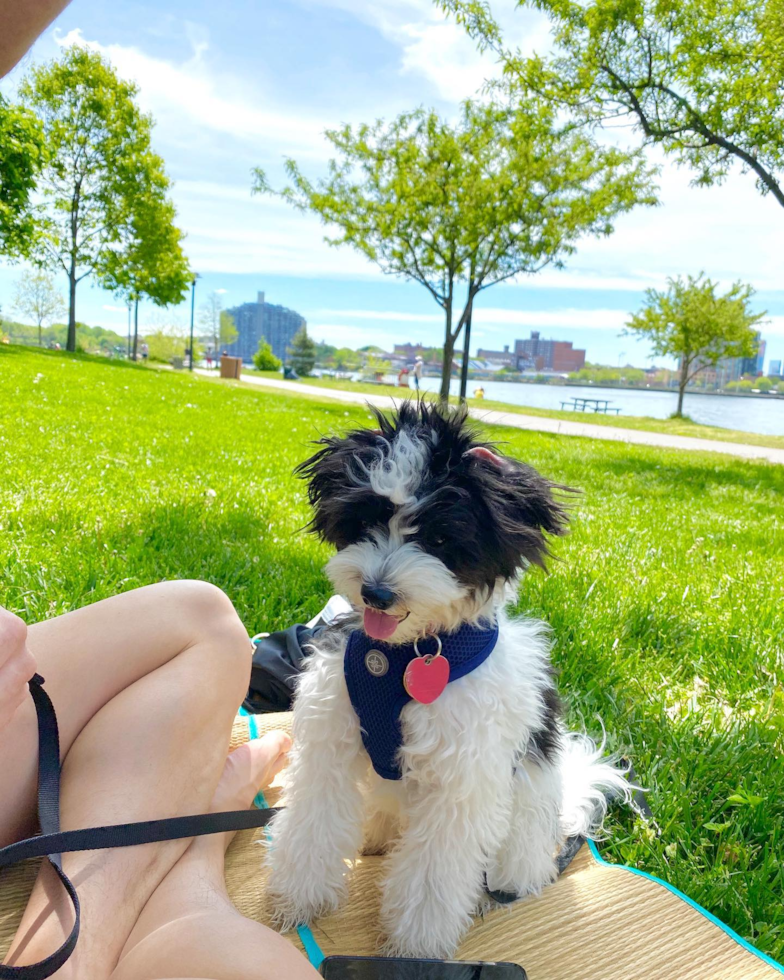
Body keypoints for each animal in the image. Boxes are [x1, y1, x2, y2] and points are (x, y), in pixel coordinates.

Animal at [266, 400, 628, 956]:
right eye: (366, 519)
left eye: (439, 539)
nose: (376, 593)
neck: (403, 655)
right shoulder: (332, 740)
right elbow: (314, 819)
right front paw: (298, 901)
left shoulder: (460, 778)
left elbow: (433, 873)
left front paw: (414, 948)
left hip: (520, 832)